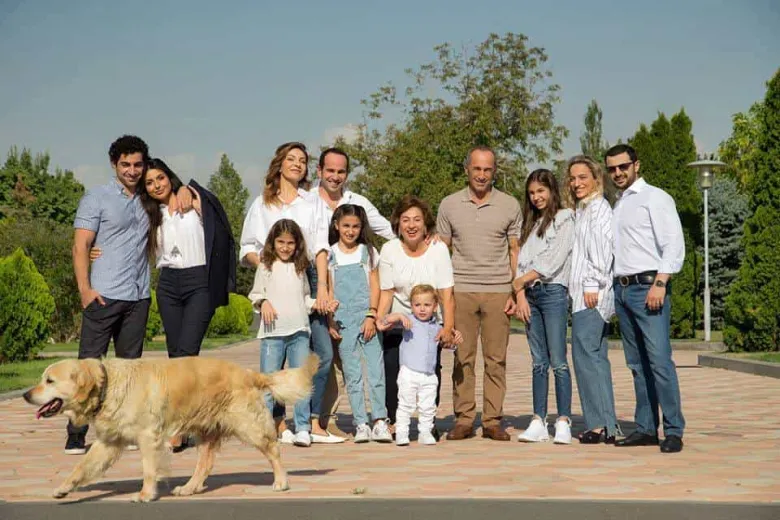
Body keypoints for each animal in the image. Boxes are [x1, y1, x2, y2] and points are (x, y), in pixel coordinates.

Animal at [23, 354, 318, 502]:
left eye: (49, 381)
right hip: (206, 429)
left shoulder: (148, 436)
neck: (108, 385)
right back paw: (189, 488)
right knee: (206, 463)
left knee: (273, 450)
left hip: (248, 424)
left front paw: (145, 494)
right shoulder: (109, 441)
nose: (26, 394)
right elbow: (82, 467)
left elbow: (149, 469)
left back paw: (281, 482)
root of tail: (249, 373)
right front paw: (64, 488)